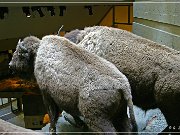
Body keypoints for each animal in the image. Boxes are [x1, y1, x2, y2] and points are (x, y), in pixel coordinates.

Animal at [9, 34, 137, 134]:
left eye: (19, 54)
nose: (10, 65)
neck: (37, 53)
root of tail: (123, 85)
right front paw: (80, 124)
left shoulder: (47, 94)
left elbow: (51, 113)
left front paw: (52, 129)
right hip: (121, 114)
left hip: (99, 120)